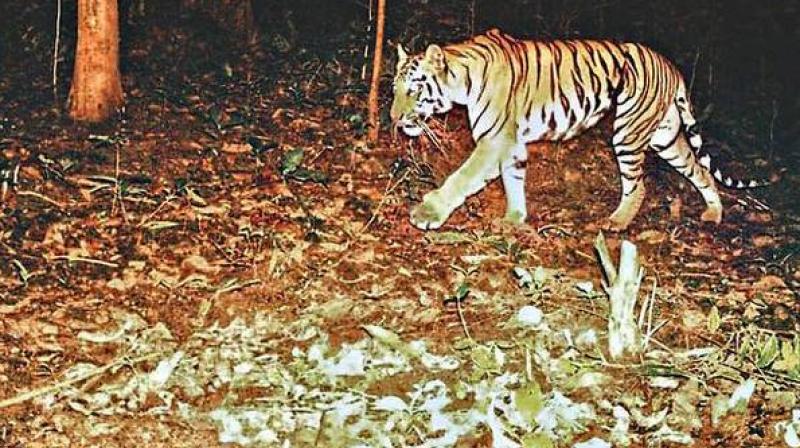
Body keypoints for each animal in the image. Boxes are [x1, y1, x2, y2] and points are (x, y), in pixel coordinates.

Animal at [390, 28, 764, 231]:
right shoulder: (511, 144)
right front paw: (515, 218)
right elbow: (513, 179)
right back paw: (714, 212)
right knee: (700, 168)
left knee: (639, 186)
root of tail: (672, 66)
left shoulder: (492, 140)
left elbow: (462, 177)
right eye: (394, 89)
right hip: (665, 136)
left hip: (629, 132)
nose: (394, 119)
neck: (462, 81)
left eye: (414, 90)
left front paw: (428, 213)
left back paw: (617, 222)